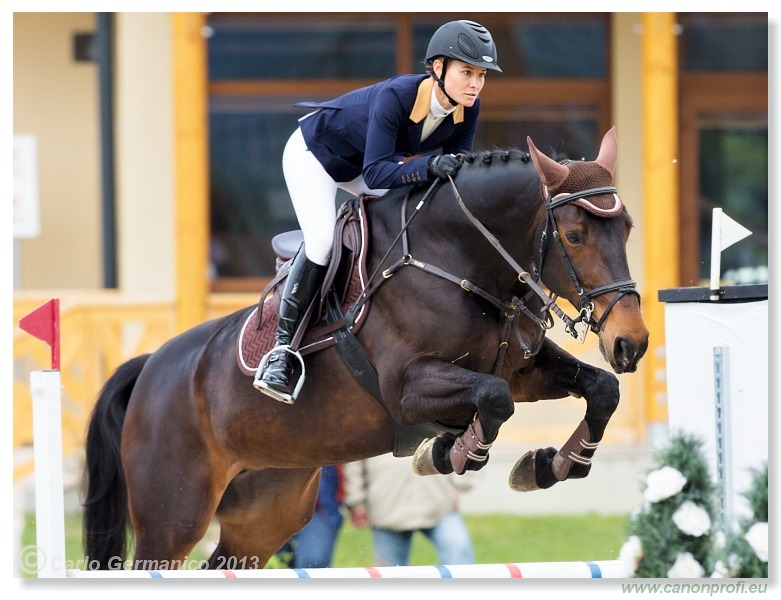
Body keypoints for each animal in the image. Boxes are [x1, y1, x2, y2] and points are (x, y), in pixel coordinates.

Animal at [84, 129, 644, 568]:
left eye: (627, 227)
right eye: (574, 235)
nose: (631, 343)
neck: (462, 259)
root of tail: (149, 368)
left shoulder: (523, 370)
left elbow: (601, 389)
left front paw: (551, 466)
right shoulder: (408, 389)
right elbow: (493, 399)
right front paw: (446, 453)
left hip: (265, 512)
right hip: (173, 516)